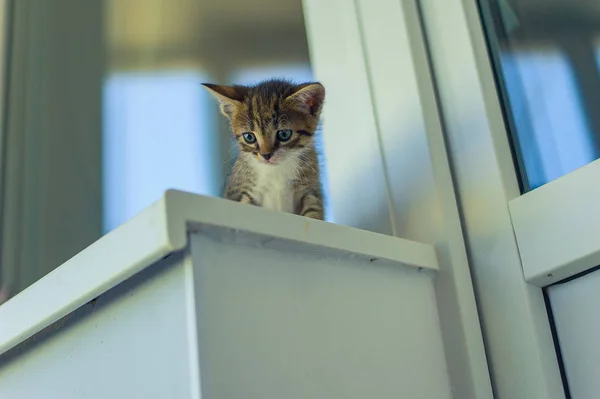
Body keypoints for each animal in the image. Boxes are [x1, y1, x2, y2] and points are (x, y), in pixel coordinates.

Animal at [203, 79, 326, 220]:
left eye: (284, 134)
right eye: (249, 137)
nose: (266, 155)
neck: (276, 171)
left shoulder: (311, 188)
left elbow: (313, 208)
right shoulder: (240, 191)